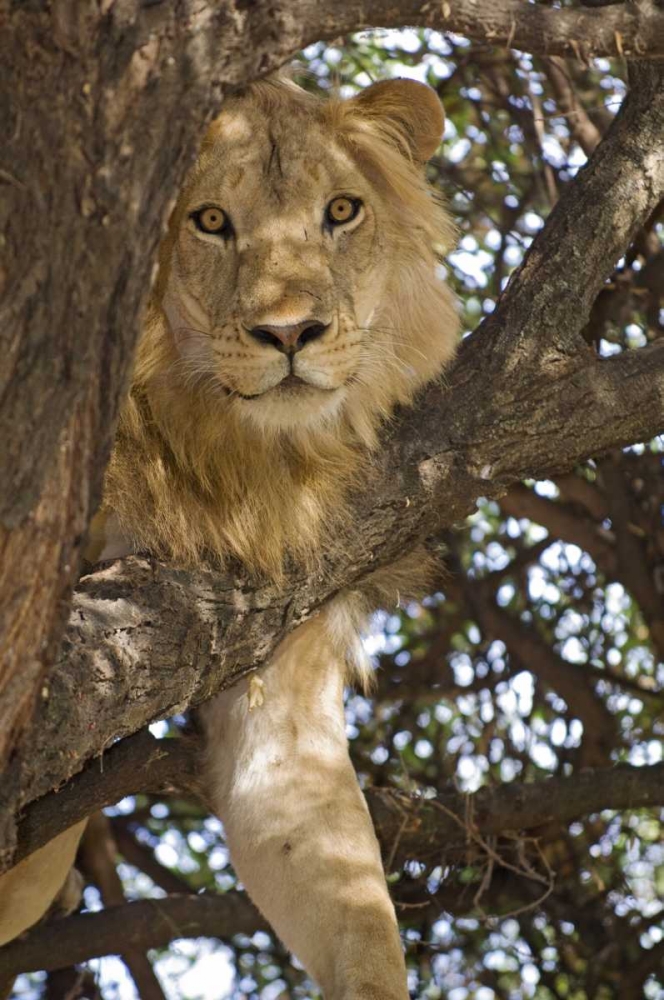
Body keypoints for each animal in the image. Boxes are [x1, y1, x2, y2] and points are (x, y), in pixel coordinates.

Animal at [0, 76, 458, 999]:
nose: (290, 335)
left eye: (341, 210)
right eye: (210, 221)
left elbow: (360, 918)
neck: (221, 444)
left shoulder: (277, 664)